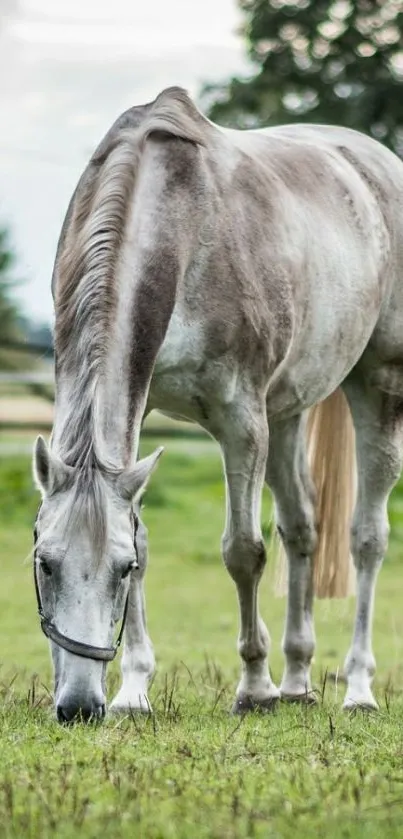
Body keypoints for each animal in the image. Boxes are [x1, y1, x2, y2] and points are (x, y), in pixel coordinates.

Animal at [33, 88, 403, 724]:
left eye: (118, 570)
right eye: (44, 563)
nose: (80, 706)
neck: (178, 227)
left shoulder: (241, 421)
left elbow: (243, 551)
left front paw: (254, 688)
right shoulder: (145, 412)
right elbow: (150, 536)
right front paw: (134, 691)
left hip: (375, 384)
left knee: (366, 538)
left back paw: (356, 687)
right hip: (287, 412)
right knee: (302, 527)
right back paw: (298, 679)